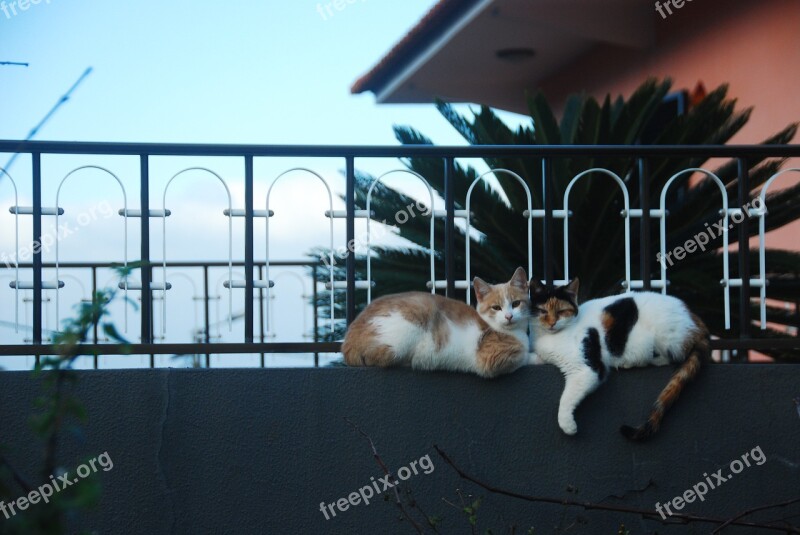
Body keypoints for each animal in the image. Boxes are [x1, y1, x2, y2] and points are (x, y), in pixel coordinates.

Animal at [344, 266, 532, 376]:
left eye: (516, 304)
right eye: (496, 307)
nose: (509, 316)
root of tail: (348, 341)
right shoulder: (492, 357)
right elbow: (524, 356)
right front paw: (535, 356)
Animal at [532, 278, 708, 442]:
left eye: (561, 311)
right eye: (542, 311)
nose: (552, 323)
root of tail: (694, 317)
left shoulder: (587, 369)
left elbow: (567, 397)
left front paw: (567, 425)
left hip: (663, 338)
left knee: (673, 357)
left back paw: (632, 362)